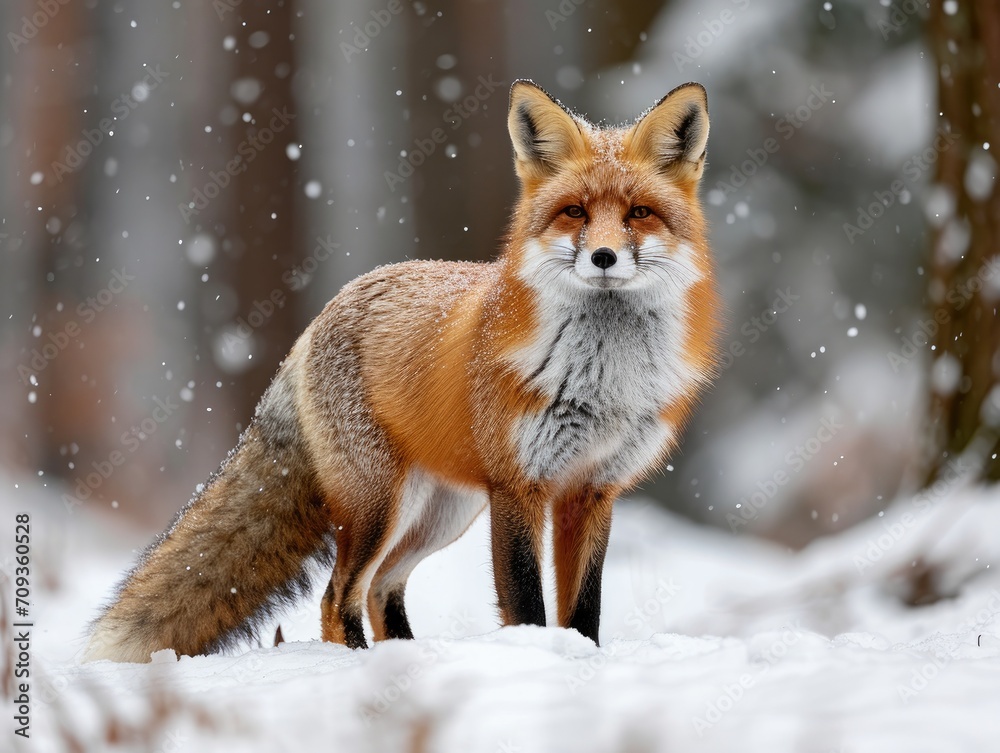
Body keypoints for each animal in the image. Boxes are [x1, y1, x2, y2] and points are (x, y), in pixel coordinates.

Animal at [86, 79, 720, 660]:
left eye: (639, 213)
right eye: (575, 212)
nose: (604, 257)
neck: (601, 378)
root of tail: (327, 310)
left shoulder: (592, 489)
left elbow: (584, 609)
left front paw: (580, 660)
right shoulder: (518, 486)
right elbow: (525, 603)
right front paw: (537, 660)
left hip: (441, 513)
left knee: (380, 589)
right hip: (379, 506)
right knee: (338, 594)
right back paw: (360, 665)